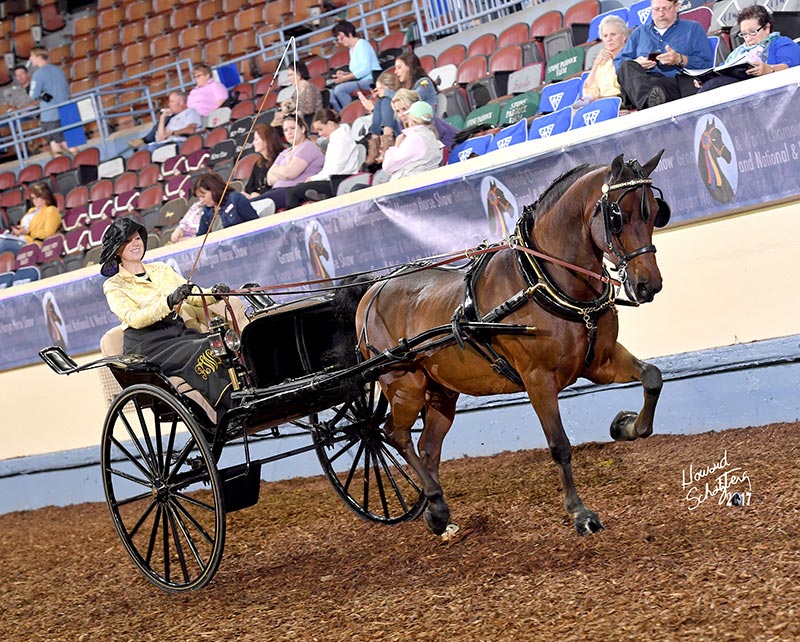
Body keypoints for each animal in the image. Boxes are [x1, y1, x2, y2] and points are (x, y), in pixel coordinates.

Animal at [356, 151, 668, 536]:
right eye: (617, 216)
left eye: (654, 212)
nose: (648, 285)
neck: (544, 280)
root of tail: (372, 291)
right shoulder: (538, 379)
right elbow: (559, 445)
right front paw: (579, 512)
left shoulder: (601, 361)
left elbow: (652, 377)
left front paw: (626, 426)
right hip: (404, 385)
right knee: (393, 434)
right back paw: (434, 502)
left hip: (442, 390)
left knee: (427, 447)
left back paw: (437, 511)